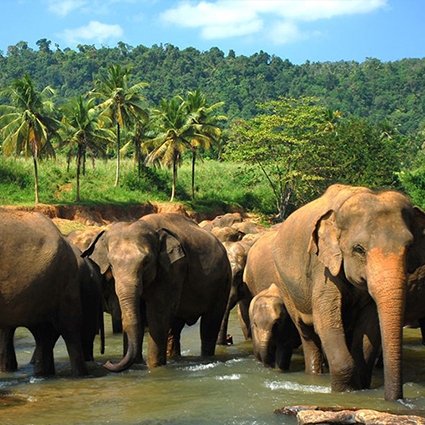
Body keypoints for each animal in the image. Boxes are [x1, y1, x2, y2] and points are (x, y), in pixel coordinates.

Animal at [81, 212, 230, 372]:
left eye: (146, 262)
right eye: (111, 264)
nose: (107, 362)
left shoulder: (173, 269)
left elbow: (158, 314)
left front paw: (154, 368)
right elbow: (139, 314)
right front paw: (138, 365)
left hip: (223, 283)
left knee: (210, 325)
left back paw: (206, 358)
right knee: (175, 328)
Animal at [266, 184, 424, 400]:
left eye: (409, 247)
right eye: (359, 249)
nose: (396, 398)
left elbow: (369, 327)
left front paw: (359, 387)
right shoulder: (322, 268)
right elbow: (326, 322)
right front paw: (345, 392)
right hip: (284, 283)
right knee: (306, 333)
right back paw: (314, 375)